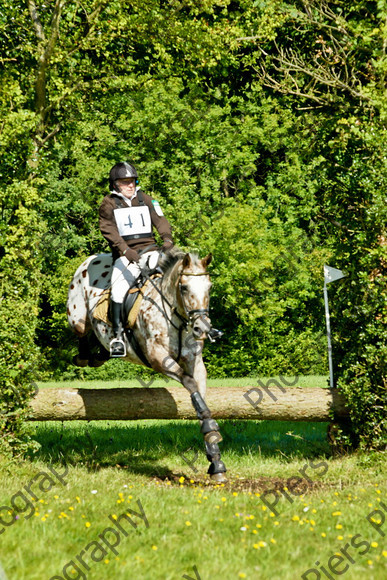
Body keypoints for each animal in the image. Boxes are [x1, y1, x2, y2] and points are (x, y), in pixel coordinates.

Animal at [67, 248, 229, 480]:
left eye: (209, 286)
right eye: (184, 287)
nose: (202, 328)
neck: (176, 318)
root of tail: (90, 259)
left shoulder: (195, 362)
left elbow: (200, 396)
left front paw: (215, 458)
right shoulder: (158, 358)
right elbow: (189, 383)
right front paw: (211, 431)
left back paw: (101, 354)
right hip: (77, 318)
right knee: (82, 332)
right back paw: (86, 356)